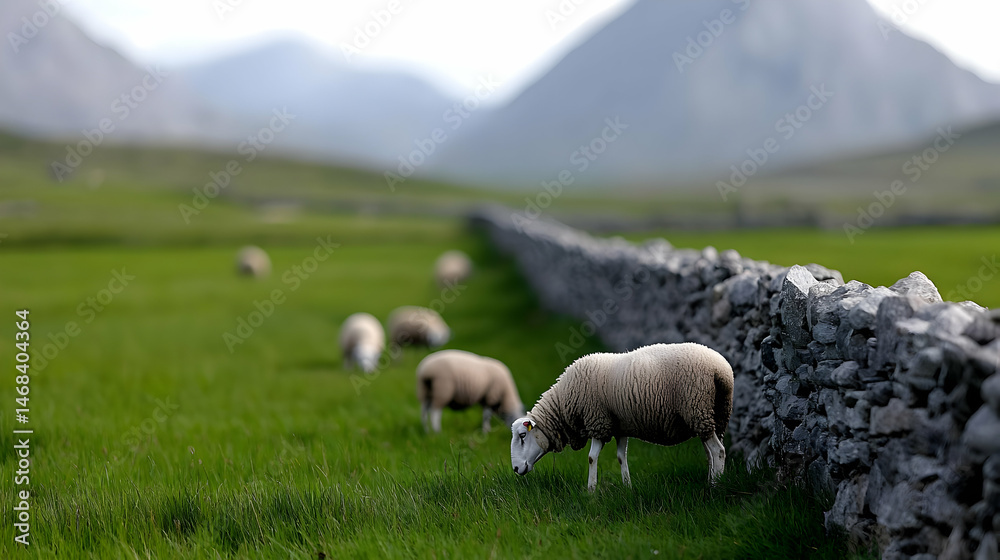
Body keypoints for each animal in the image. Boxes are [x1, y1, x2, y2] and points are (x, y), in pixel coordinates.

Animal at [510, 342, 733, 491]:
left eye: (522, 435)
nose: (515, 468)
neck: (565, 401)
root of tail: (721, 369)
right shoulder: (620, 426)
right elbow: (620, 457)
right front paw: (627, 487)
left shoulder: (598, 421)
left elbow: (591, 458)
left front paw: (591, 491)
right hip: (713, 415)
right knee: (710, 452)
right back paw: (710, 480)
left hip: (697, 409)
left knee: (718, 451)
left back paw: (715, 486)